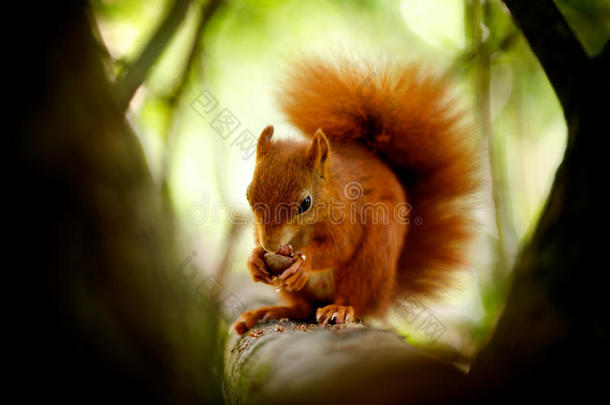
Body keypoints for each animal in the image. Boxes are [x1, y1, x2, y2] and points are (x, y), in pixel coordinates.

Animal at [233, 56, 480, 334]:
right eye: (248, 195)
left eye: (305, 203)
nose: (271, 247)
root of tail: (383, 296)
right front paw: (254, 259)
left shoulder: (346, 214)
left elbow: (339, 246)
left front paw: (304, 263)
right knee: (302, 308)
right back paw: (267, 312)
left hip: (371, 258)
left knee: (352, 297)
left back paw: (340, 308)